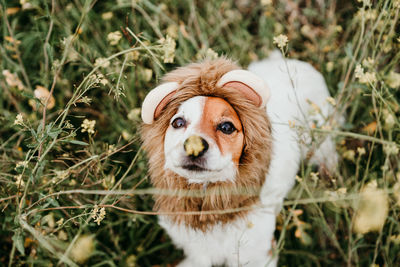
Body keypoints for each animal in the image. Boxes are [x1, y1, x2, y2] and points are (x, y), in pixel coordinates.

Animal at [141, 51, 338, 266]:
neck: (208, 207)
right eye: (178, 122)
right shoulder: (197, 248)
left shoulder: (258, 254)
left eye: (227, 127)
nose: (194, 146)